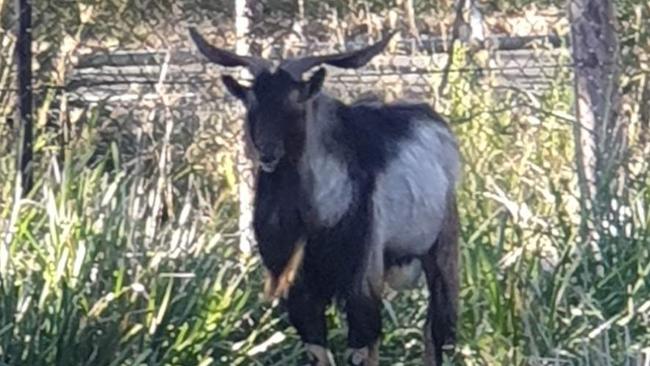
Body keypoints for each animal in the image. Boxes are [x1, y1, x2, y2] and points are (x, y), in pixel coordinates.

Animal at [189, 28, 460, 366]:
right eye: (251, 102)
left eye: (295, 102)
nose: (268, 153)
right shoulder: (301, 293)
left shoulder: (360, 279)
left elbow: (361, 345)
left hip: (442, 252)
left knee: (435, 331)